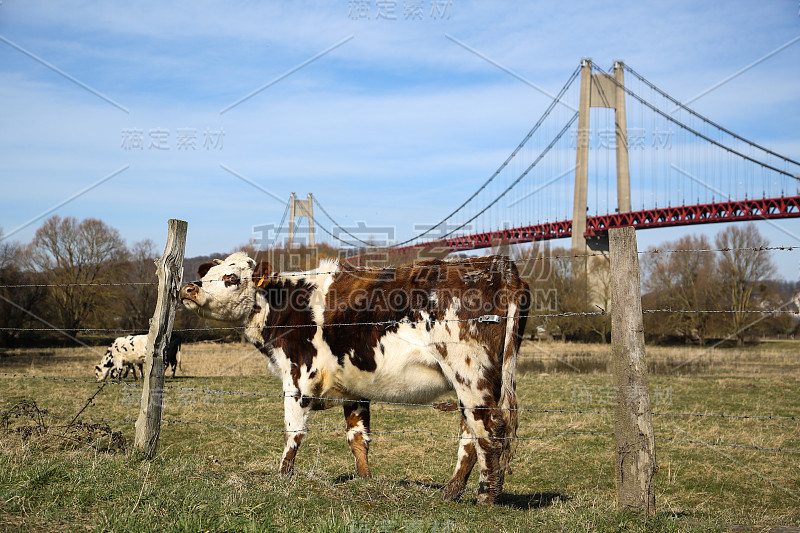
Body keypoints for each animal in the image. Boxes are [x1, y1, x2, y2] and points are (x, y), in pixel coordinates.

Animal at [182, 252, 532, 502]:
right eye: (206, 276)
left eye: (231, 278)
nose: (189, 288)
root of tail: (500, 265)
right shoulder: (353, 387)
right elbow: (357, 437)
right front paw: (364, 482)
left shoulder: (298, 378)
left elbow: (293, 433)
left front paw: (282, 478)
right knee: (470, 432)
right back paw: (450, 491)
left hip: (469, 373)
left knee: (489, 427)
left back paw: (486, 495)